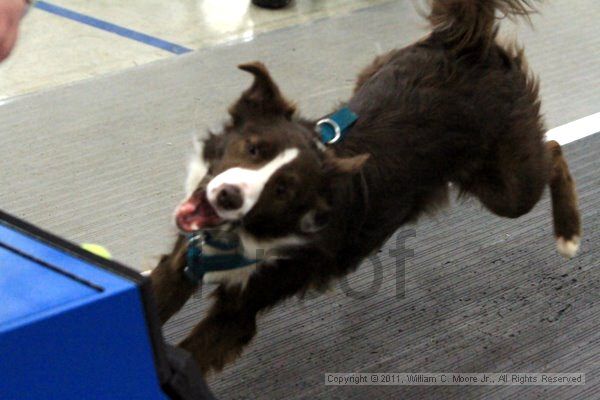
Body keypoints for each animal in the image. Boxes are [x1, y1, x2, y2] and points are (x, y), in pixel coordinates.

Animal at [150, 0, 580, 376]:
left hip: (509, 186)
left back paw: (568, 233)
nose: (228, 195)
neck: (241, 234)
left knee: (554, 152)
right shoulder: (181, 263)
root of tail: (463, 43)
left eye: (283, 190)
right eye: (253, 148)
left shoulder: (238, 313)